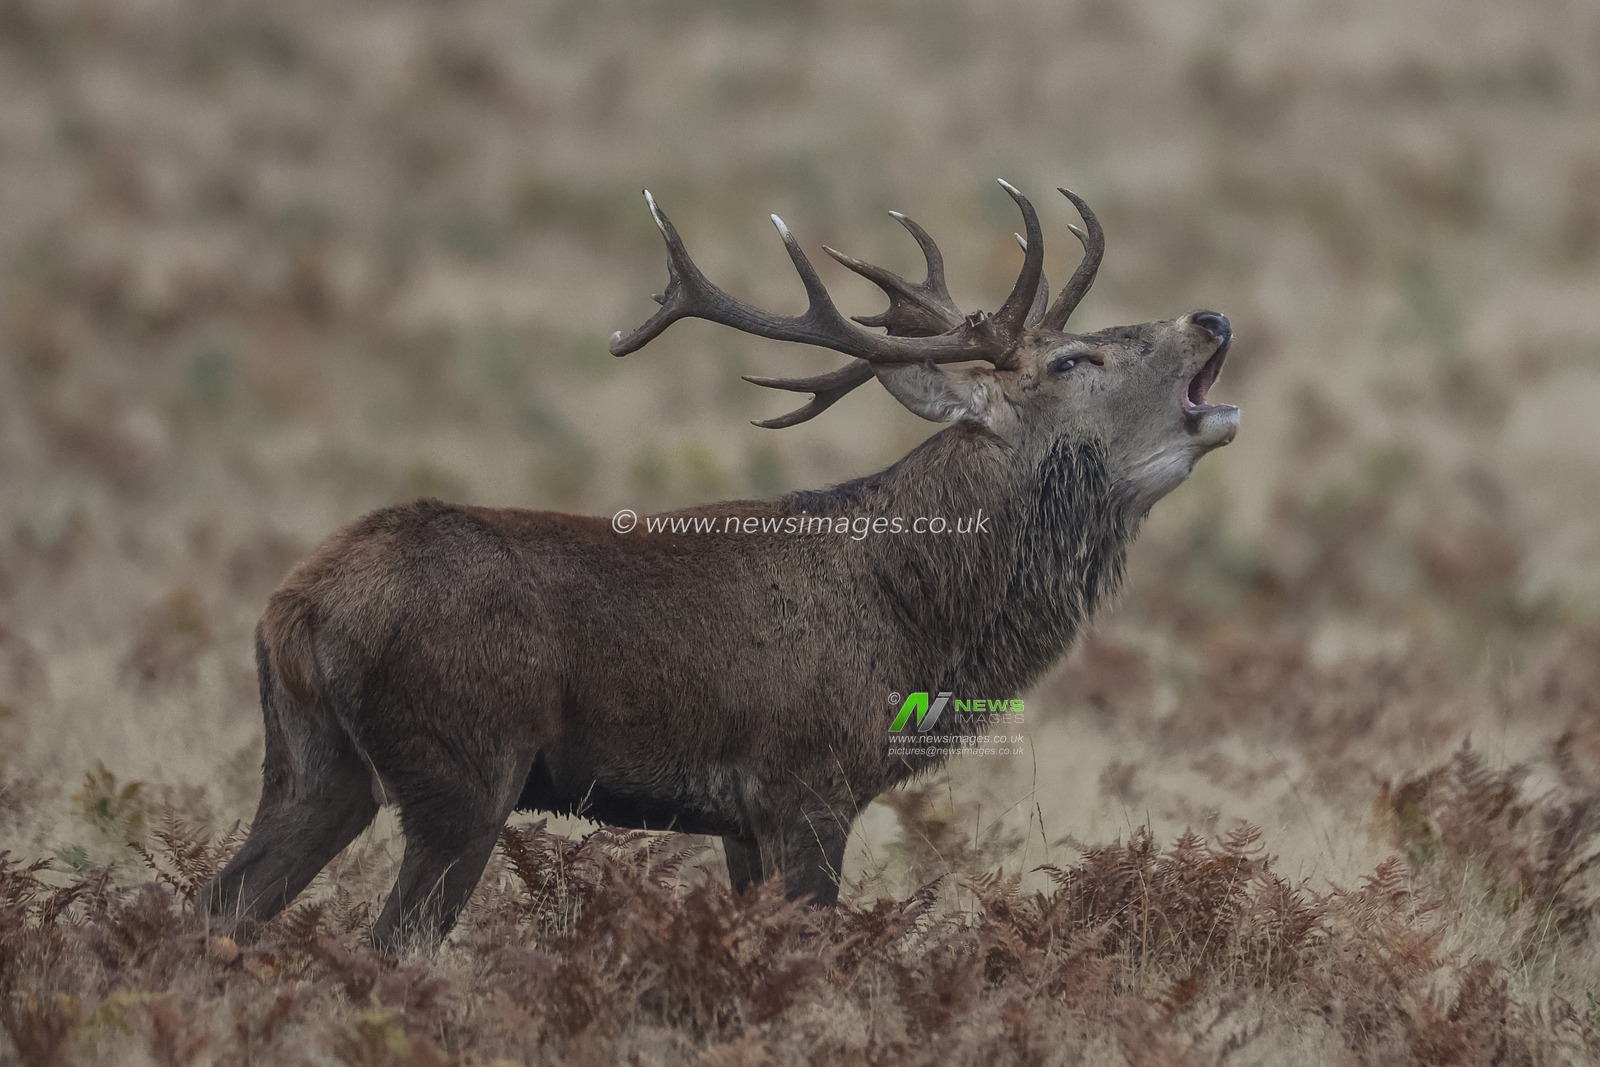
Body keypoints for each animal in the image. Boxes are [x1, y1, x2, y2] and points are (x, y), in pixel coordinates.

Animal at [198, 180, 1239, 954]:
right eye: (1073, 359)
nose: (1212, 317)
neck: (914, 631)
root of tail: (293, 609)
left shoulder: (742, 818)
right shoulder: (806, 781)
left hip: (311, 761)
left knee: (220, 906)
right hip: (461, 761)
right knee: (388, 941)